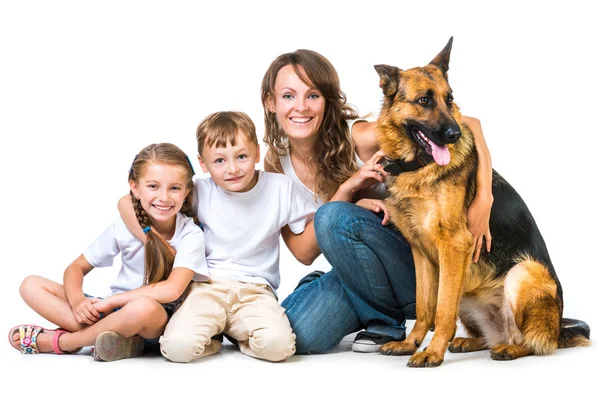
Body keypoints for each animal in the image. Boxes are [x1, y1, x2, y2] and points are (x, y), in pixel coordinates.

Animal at [376, 37, 592, 366]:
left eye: (449, 99)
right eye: (424, 100)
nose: (454, 133)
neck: (417, 166)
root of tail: (557, 329)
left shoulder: (454, 246)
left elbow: (442, 311)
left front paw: (432, 352)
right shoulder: (420, 253)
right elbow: (425, 307)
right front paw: (411, 344)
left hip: (522, 273)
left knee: (532, 341)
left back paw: (510, 348)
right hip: (467, 290)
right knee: (487, 336)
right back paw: (470, 341)